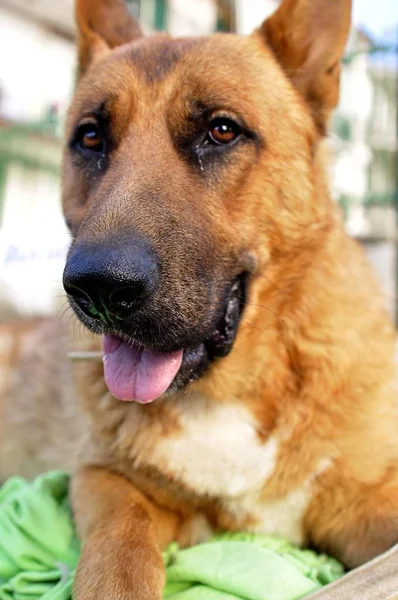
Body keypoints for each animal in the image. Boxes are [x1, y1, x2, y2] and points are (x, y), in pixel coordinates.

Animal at [0, 0, 398, 596]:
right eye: (90, 138)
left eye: (221, 130)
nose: (99, 288)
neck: (228, 389)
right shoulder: (102, 478)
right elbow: (121, 543)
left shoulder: (365, 501)